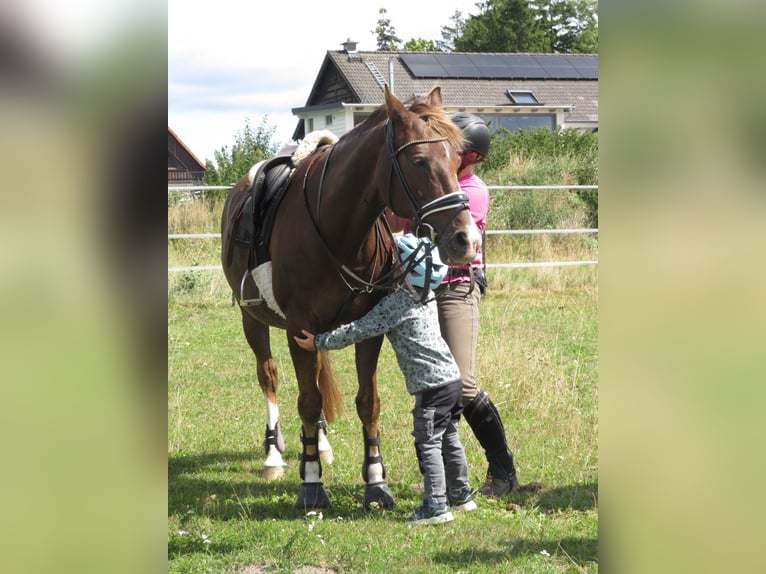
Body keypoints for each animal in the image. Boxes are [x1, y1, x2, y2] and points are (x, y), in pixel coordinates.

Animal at [220, 85, 482, 510]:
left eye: (457, 159)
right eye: (419, 161)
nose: (467, 240)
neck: (337, 228)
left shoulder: (367, 327)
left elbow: (366, 400)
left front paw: (375, 481)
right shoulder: (299, 327)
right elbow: (307, 400)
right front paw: (311, 484)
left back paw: (320, 444)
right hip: (253, 320)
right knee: (270, 376)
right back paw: (274, 455)